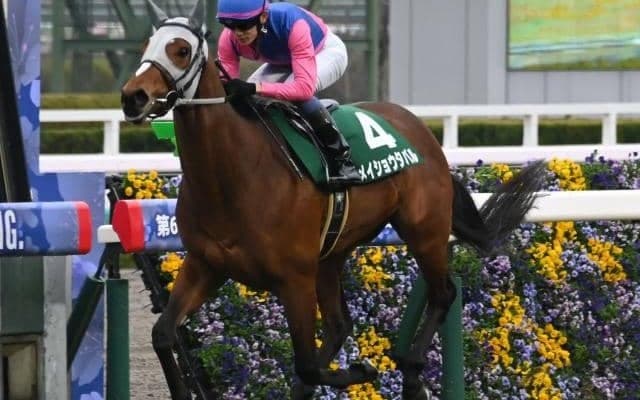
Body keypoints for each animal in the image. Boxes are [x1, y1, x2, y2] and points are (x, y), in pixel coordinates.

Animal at [121, 1, 545, 399]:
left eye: (181, 50)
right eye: (146, 45)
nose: (132, 97)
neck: (231, 176)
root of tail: (419, 128)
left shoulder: (294, 278)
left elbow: (307, 364)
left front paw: (363, 369)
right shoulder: (205, 264)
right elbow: (163, 333)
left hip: (423, 230)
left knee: (443, 294)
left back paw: (410, 372)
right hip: (332, 253)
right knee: (342, 324)